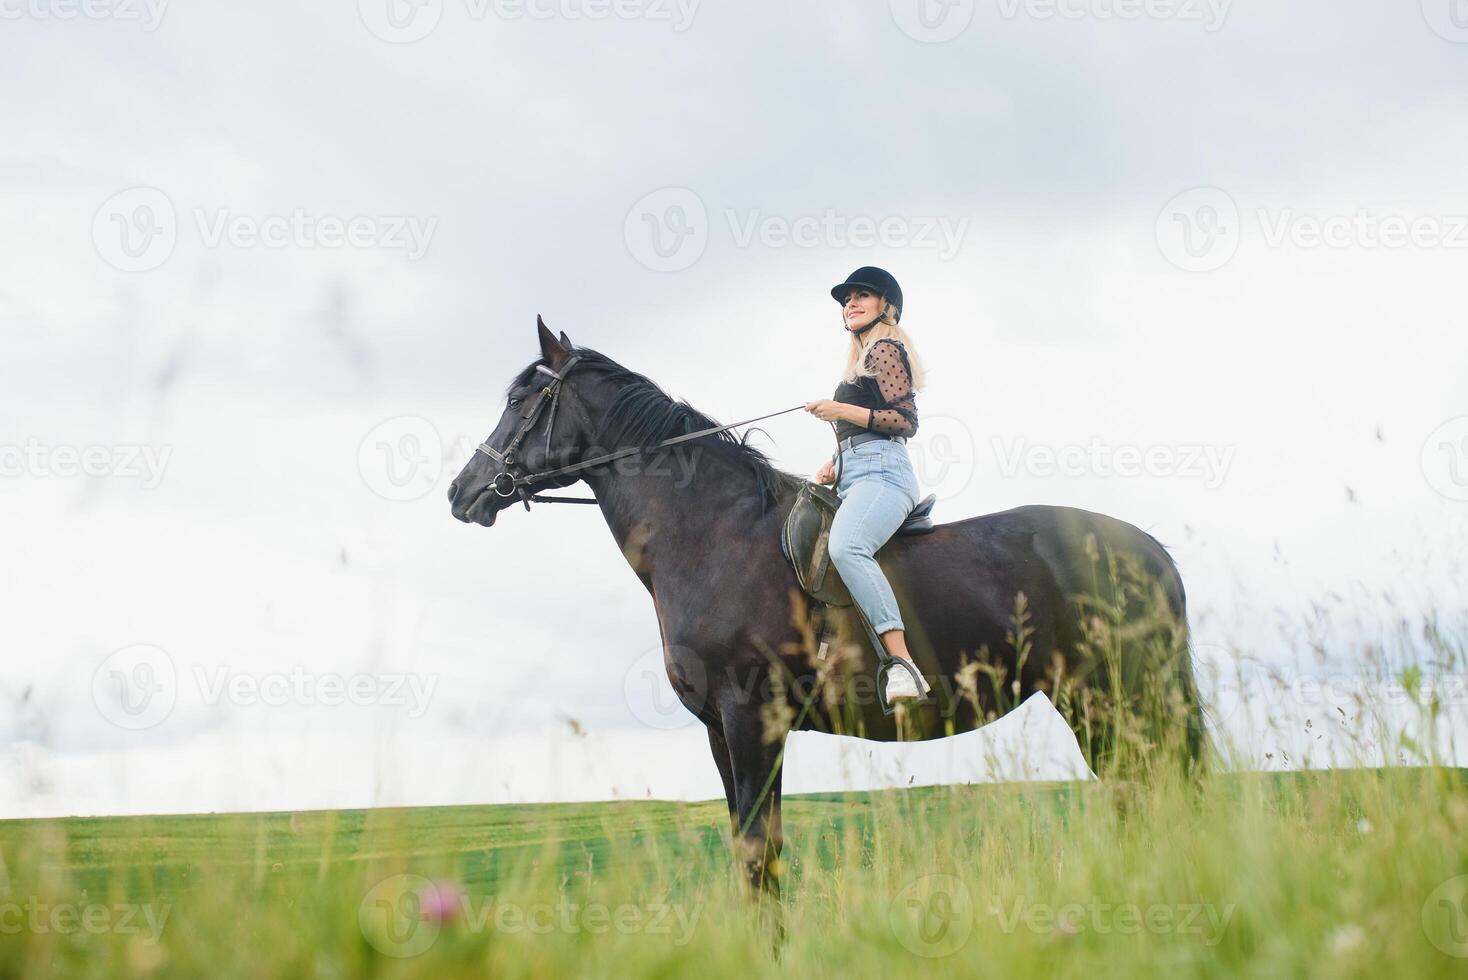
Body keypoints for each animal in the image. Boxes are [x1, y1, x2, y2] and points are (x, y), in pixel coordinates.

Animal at [443, 321, 1203, 903]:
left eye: (520, 398)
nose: (462, 491)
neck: (712, 533)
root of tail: (1150, 551)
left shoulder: (752, 718)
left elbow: (758, 853)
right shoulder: (720, 730)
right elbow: (754, 850)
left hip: (1120, 698)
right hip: (1094, 703)